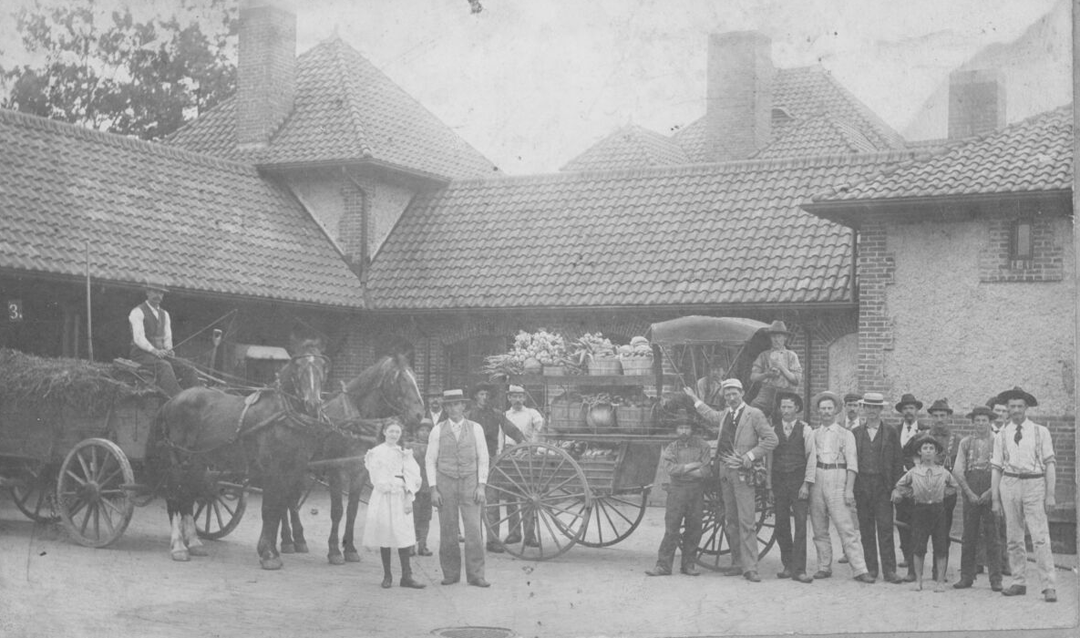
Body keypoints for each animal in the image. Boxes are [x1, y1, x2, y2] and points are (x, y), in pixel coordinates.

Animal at [145, 338, 328, 569]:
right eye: (297, 366)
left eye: (323, 366)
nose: (313, 404)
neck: (281, 415)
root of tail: (173, 400)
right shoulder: (272, 470)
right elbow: (270, 508)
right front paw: (268, 554)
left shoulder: (294, 470)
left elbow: (280, 509)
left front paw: (274, 550)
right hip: (178, 459)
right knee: (174, 496)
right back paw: (178, 547)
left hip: (197, 461)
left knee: (187, 495)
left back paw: (194, 543)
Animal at [278, 351, 425, 565]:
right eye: (400, 380)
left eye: (414, 377)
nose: (419, 414)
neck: (356, 421)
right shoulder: (336, 471)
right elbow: (338, 510)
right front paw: (334, 551)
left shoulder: (360, 471)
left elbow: (353, 510)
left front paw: (350, 549)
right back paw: (288, 541)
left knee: (290, 499)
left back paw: (298, 539)